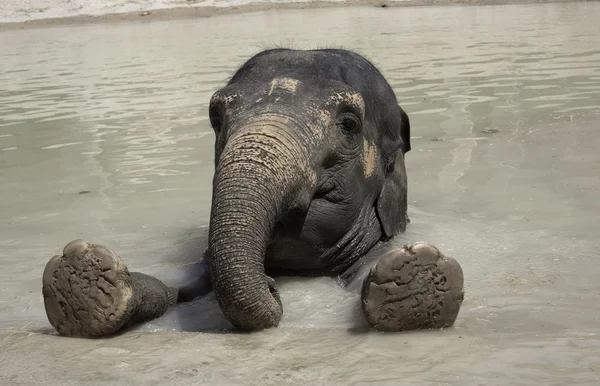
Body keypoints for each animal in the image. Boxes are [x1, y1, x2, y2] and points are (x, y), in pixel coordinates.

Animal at [42, 48, 464, 338]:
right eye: (216, 118)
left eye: (349, 123)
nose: (273, 287)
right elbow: (177, 289)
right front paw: (87, 280)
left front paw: (413, 277)